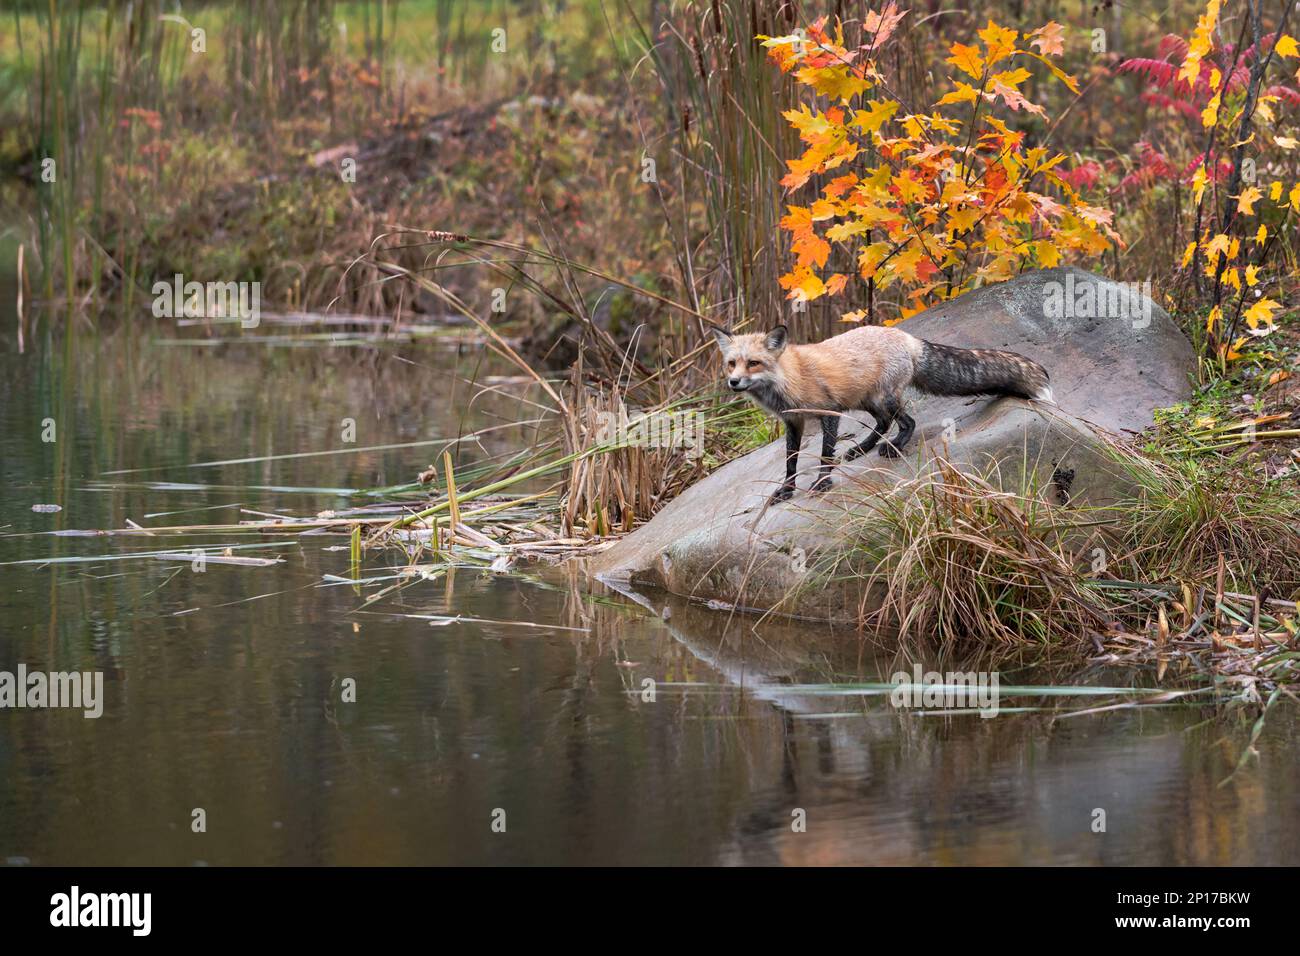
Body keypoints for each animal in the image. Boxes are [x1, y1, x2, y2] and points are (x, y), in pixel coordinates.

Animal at [710, 323, 1053, 503]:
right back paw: (861, 449)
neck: (788, 378)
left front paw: (823, 482)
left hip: (882, 397)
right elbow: (790, 462)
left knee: (906, 421)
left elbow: (823, 454)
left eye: (753, 363)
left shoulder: (828, 412)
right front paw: (785, 489)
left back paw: (894, 447)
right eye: (732, 363)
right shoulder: (793, 421)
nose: (733, 382)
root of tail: (906, 336)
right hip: (866, 400)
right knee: (884, 422)